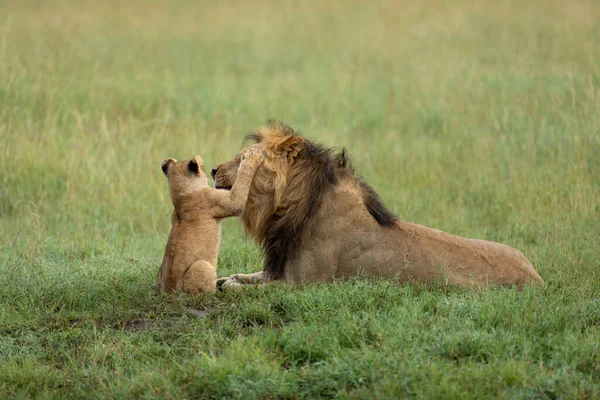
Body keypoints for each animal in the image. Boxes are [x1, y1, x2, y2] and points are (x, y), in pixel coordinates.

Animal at [211, 120, 544, 290]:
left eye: (242, 159)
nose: (213, 170)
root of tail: (536, 278)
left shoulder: (302, 284)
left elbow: (243, 289)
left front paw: (230, 286)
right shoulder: (278, 270)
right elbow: (243, 276)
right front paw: (226, 277)